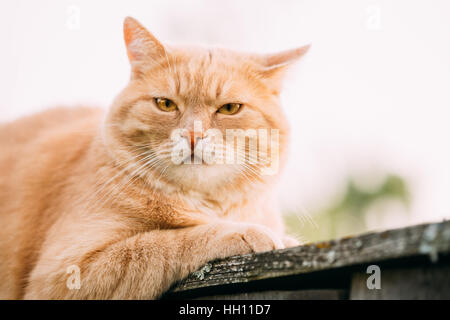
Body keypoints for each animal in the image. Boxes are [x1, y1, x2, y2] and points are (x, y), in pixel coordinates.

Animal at [0, 17, 310, 300]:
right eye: (166, 104)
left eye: (230, 108)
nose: (193, 135)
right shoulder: (65, 273)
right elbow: (165, 242)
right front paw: (247, 232)